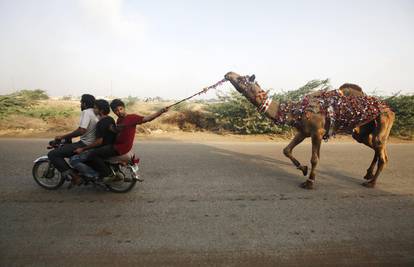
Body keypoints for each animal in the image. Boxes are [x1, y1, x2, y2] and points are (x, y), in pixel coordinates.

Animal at [223, 72, 394, 189]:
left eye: (242, 79)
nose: (228, 73)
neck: (294, 110)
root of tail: (389, 109)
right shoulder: (303, 131)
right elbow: (286, 150)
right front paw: (303, 169)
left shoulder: (317, 132)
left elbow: (315, 159)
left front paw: (309, 182)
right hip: (362, 131)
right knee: (376, 146)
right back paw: (368, 174)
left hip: (383, 120)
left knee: (382, 152)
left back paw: (371, 182)